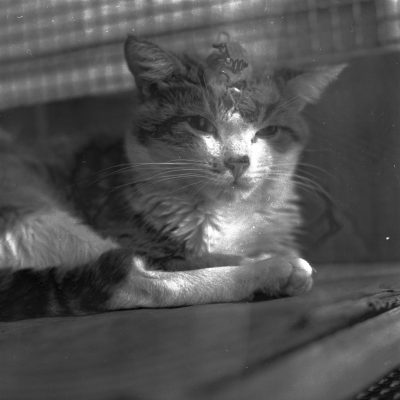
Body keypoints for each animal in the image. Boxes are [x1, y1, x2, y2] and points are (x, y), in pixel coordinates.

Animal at [0, 35, 344, 320]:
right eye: (200, 124)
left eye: (268, 130)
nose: (238, 162)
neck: (231, 217)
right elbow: (185, 259)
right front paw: (270, 262)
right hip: (39, 216)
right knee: (138, 278)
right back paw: (273, 270)